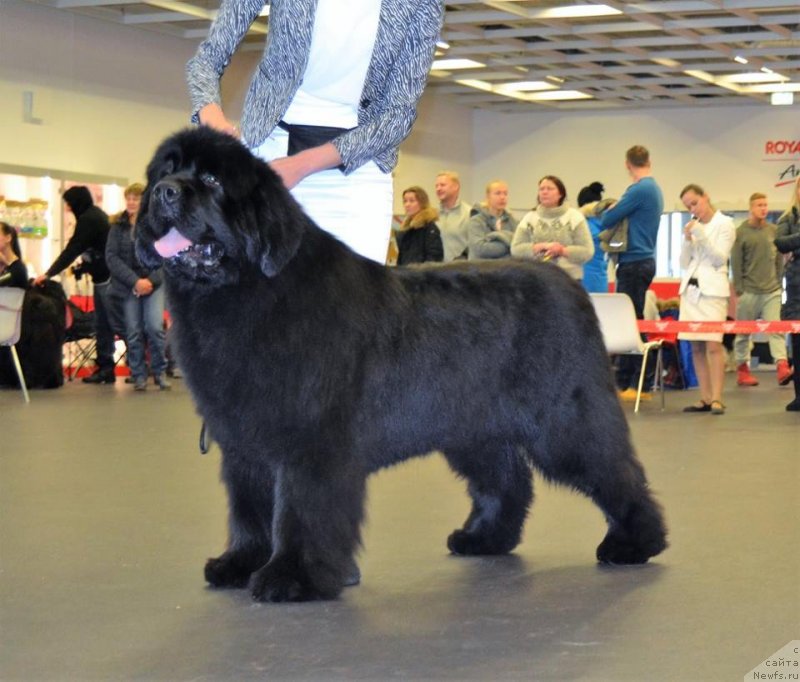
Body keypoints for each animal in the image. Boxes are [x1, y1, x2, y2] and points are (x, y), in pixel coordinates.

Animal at [138, 126, 668, 600]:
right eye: (166, 171)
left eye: (211, 180)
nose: (164, 193)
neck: (251, 290)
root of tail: (569, 284)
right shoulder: (243, 437)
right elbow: (249, 507)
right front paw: (241, 563)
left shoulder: (311, 441)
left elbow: (300, 509)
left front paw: (293, 577)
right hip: (474, 426)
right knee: (507, 482)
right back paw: (483, 539)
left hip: (562, 419)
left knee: (614, 469)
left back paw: (636, 542)